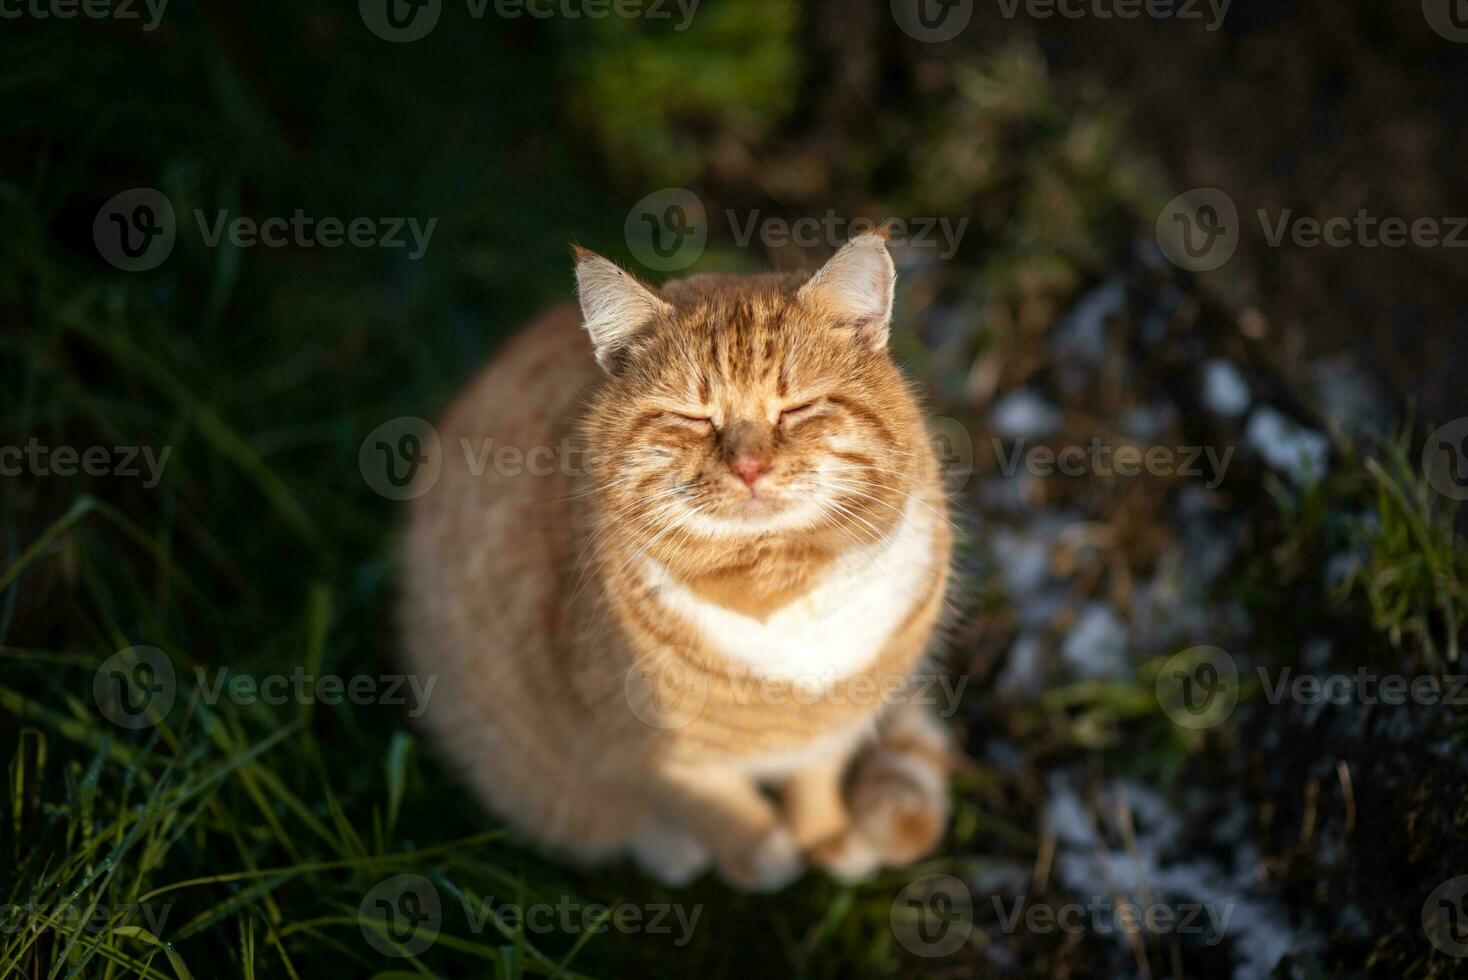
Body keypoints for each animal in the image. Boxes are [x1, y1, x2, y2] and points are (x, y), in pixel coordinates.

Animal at [405, 231, 951, 886]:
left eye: (797, 408)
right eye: (691, 417)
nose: (750, 466)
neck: (777, 580)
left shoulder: (840, 721)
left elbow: (816, 777)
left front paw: (827, 836)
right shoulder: (648, 747)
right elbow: (713, 802)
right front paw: (763, 855)